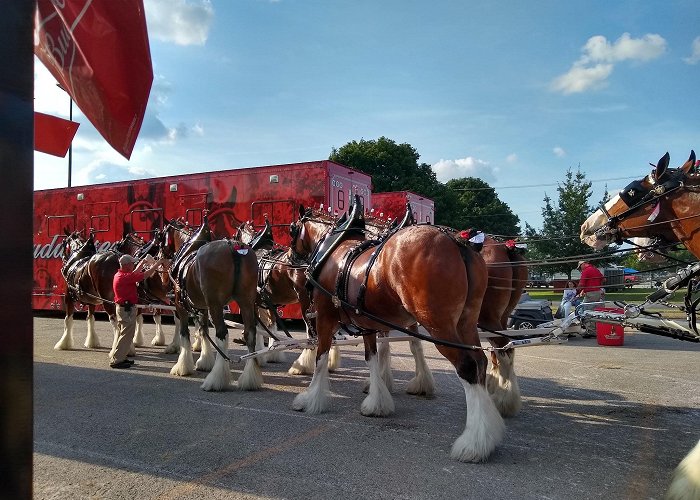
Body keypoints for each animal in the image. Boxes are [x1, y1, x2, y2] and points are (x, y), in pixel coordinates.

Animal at [161, 218, 260, 390]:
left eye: (161, 236)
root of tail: (233, 248)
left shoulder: (181, 305)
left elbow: (184, 333)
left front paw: (183, 366)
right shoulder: (204, 307)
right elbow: (203, 331)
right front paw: (205, 361)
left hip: (216, 304)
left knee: (222, 334)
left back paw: (216, 379)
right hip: (246, 301)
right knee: (250, 333)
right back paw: (250, 379)